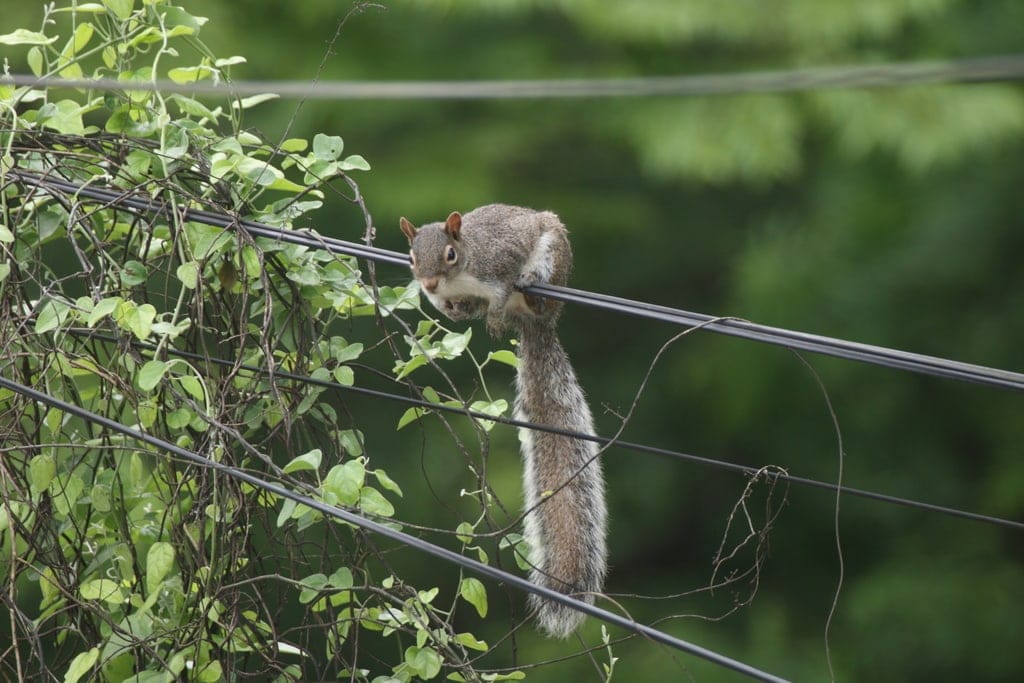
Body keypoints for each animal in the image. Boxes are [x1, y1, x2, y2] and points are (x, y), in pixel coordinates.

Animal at [400, 204, 608, 638]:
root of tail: (534, 323)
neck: (462, 275)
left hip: (552, 256)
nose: (429, 284)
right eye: (410, 257)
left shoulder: (500, 263)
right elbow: (455, 307)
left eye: (450, 254)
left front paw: (494, 315)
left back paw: (529, 289)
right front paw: (450, 309)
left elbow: (497, 294)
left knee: (535, 291)